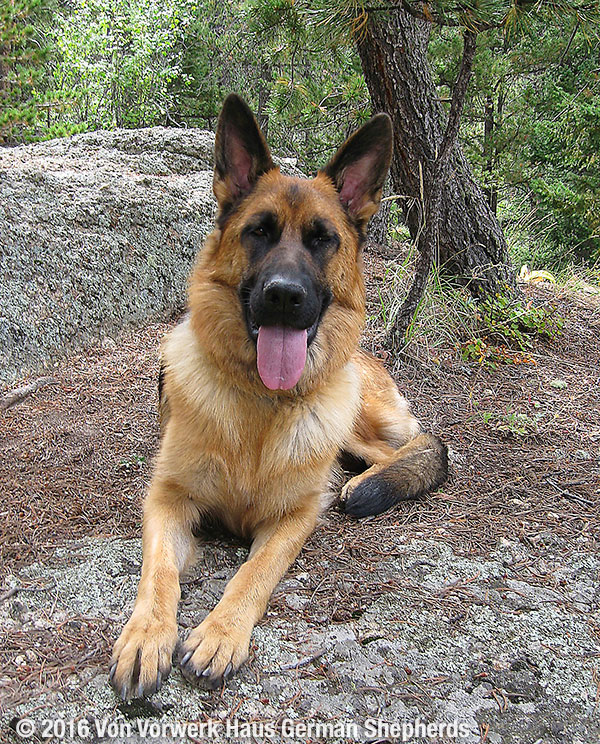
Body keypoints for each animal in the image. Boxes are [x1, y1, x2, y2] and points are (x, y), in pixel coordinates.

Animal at [110, 94, 448, 700]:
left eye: (321, 239)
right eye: (259, 232)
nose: (284, 296)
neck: (261, 407)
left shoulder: (293, 518)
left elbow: (253, 573)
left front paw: (220, 634)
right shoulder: (167, 499)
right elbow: (159, 573)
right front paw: (146, 636)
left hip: (352, 418)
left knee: (419, 446)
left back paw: (362, 481)